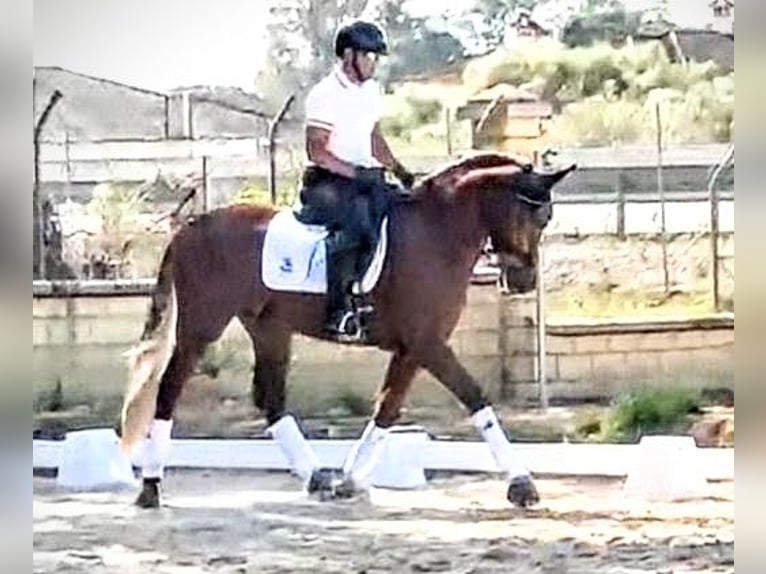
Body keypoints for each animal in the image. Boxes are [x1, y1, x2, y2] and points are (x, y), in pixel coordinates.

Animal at [118, 152, 576, 509]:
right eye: (534, 215)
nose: (523, 281)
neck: (437, 233)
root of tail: (190, 226)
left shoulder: (412, 348)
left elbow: (387, 407)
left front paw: (350, 479)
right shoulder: (428, 343)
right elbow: (474, 397)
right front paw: (522, 484)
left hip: (268, 327)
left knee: (270, 397)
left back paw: (316, 478)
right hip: (202, 325)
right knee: (169, 389)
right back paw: (151, 487)